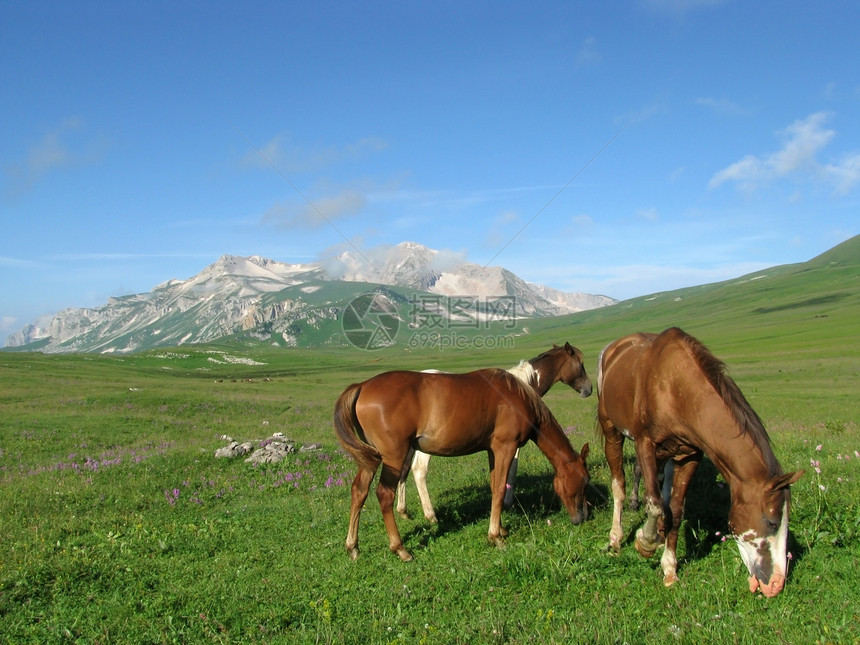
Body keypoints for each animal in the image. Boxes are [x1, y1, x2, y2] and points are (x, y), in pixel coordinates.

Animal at [332, 368, 588, 560]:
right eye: (585, 481)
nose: (582, 517)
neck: (518, 398)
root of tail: (363, 385)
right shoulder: (505, 448)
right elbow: (499, 489)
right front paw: (495, 536)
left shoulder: (493, 451)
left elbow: (495, 486)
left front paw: (501, 529)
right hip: (393, 457)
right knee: (384, 494)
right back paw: (400, 548)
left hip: (370, 459)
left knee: (359, 491)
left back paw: (353, 546)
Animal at [396, 344, 592, 520]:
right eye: (580, 364)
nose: (589, 389)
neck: (523, 385)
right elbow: (512, 471)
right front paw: (507, 503)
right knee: (419, 470)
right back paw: (431, 516)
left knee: (404, 470)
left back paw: (403, 511)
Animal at [596, 330, 808, 596]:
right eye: (772, 522)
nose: (776, 584)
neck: (676, 389)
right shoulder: (644, 443)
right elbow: (653, 503)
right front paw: (645, 542)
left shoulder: (690, 455)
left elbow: (675, 509)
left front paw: (669, 569)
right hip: (611, 430)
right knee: (619, 485)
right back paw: (616, 539)